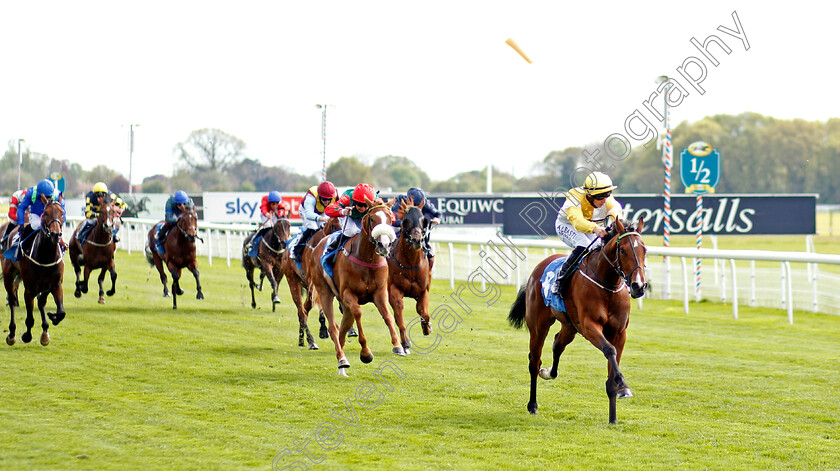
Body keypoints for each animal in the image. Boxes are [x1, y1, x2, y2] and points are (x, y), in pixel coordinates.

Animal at [2, 200, 66, 346]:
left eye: (62, 213)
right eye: (46, 213)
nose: (55, 234)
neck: (46, 256)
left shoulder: (55, 285)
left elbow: (61, 312)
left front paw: (52, 318)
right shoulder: (30, 289)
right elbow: (30, 318)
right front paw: (26, 336)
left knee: (41, 302)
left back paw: (45, 331)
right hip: (8, 276)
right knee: (12, 300)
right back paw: (12, 334)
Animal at [388, 198, 434, 354]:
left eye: (423, 220)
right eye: (405, 220)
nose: (417, 240)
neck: (410, 264)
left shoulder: (423, 291)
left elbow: (424, 313)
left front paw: (427, 328)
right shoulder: (394, 290)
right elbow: (399, 315)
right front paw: (405, 343)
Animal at [506, 219, 648, 426]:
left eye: (644, 249)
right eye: (622, 250)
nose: (638, 286)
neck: (607, 285)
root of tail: (540, 266)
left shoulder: (619, 333)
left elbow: (612, 367)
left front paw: (613, 416)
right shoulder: (589, 326)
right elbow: (609, 350)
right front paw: (623, 385)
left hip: (570, 326)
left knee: (557, 344)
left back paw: (549, 372)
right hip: (539, 326)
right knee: (534, 362)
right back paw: (532, 405)